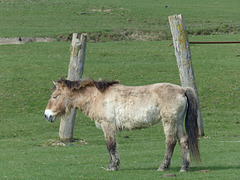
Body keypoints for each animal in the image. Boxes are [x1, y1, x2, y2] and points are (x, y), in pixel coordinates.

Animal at [43, 78, 201, 172]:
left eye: (54, 97)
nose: (46, 115)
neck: (97, 97)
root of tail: (182, 90)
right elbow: (110, 147)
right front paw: (110, 165)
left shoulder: (108, 125)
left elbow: (110, 145)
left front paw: (113, 166)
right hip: (178, 122)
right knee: (183, 140)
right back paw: (184, 167)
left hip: (169, 121)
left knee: (170, 142)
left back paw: (163, 166)